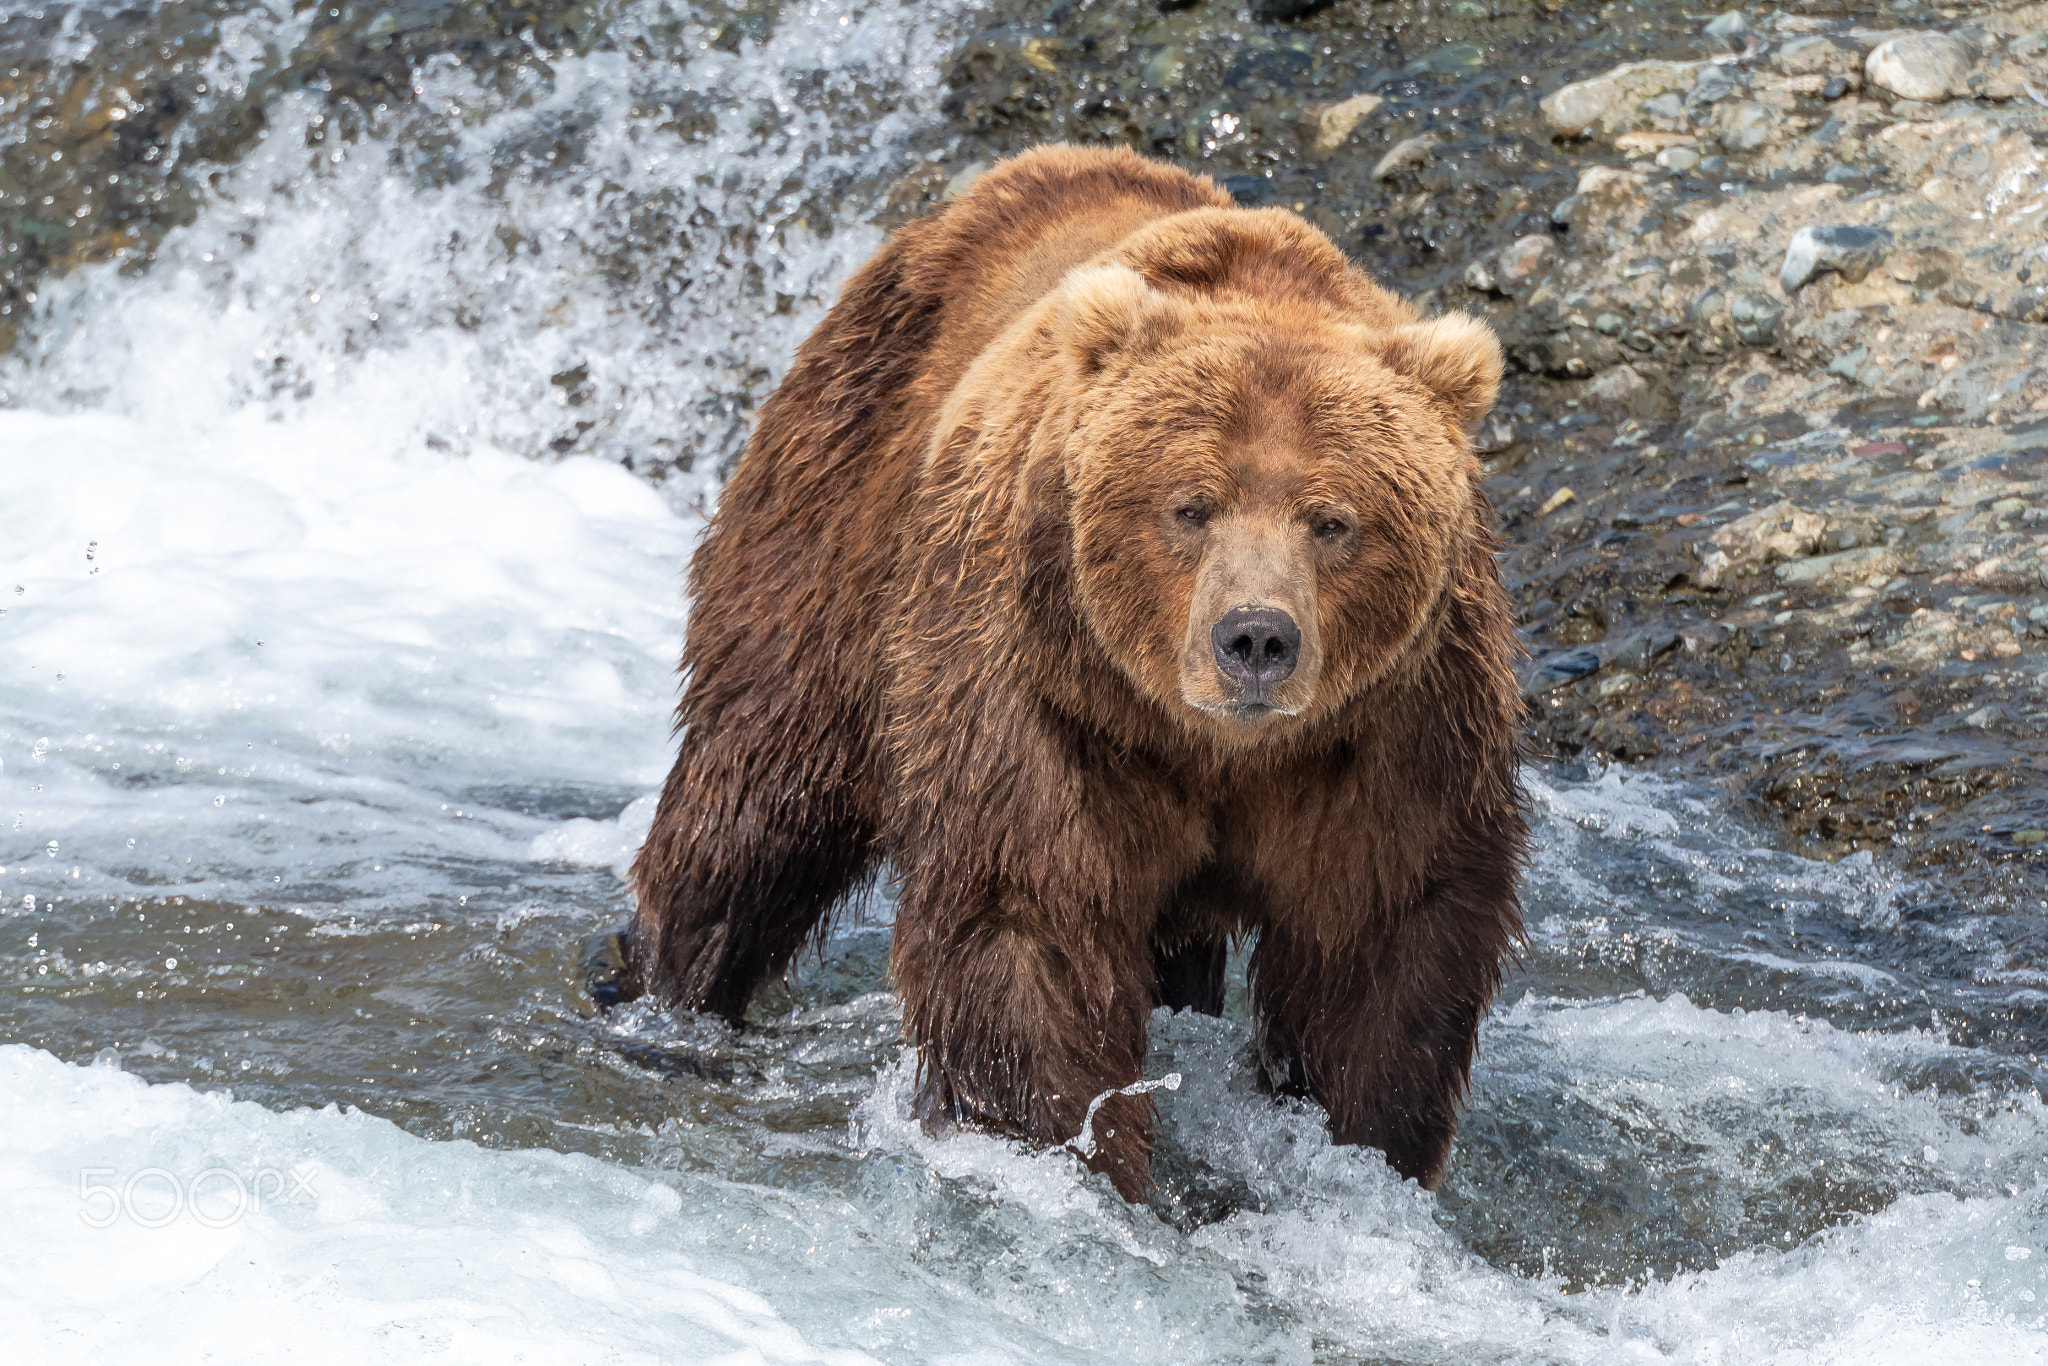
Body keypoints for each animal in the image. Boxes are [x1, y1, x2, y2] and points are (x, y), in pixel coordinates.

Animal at [622, 144, 1523, 1204]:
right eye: (1190, 506)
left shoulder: (1394, 726)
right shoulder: (1047, 697)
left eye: (1332, 518)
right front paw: (1073, 1153)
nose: (1256, 639)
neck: (1212, 746)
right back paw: (666, 994)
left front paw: (1364, 1157)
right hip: (838, 518)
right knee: (757, 792)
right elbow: (1030, 921)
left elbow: (1383, 944)